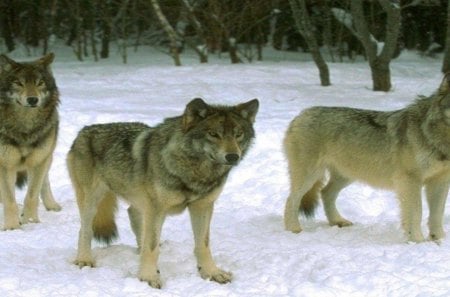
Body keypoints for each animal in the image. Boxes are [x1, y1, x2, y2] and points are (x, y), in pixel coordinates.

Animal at [0, 52, 61, 229]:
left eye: (40, 83)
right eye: (19, 83)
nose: (33, 99)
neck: (25, 128)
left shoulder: (38, 161)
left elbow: (32, 196)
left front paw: (32, 221)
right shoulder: (6, 163)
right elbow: (9, 200)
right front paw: (12, 227)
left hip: (47, 156)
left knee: (45, 182)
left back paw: (52, 205)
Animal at [65, 97, 258, 286]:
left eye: (238, 134)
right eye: (213, 134)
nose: (233, 156)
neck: (194, 172)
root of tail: (84, 131)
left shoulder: (202, 207)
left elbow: (203, 245)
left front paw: (212, 273)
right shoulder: (157, 209)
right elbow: (152, 248)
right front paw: (148, 277)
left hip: (139, 202)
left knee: (133, 217)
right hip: (92, 201)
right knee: (84, 230)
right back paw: (84, 260)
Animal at [284, 73, 450, 242]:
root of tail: (301, 114)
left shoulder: (440, 181)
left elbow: (437, 214)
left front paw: (439, 239)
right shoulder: (410, 181)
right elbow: (416, 213)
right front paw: (417, 241)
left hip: (346, 176)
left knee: (325, 192)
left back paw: (337, 221)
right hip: (310, 176)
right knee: (291, 200)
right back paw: (294, 230)